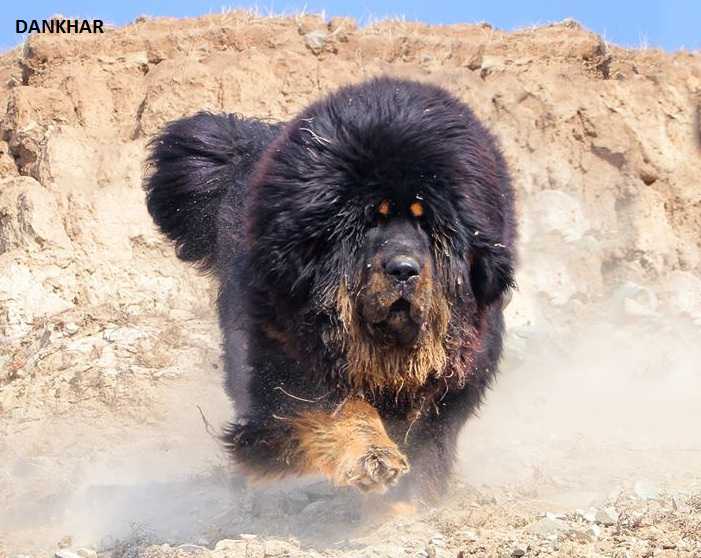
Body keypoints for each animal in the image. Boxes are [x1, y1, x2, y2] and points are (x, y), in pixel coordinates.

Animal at [145, 76, 516, 500]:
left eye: (428, 224)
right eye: (369, 222)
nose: (404, 270)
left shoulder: (458, 372)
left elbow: (427, 443)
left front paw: (407, 500)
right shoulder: (290, 350)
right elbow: (337, 408)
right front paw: (373, 458)